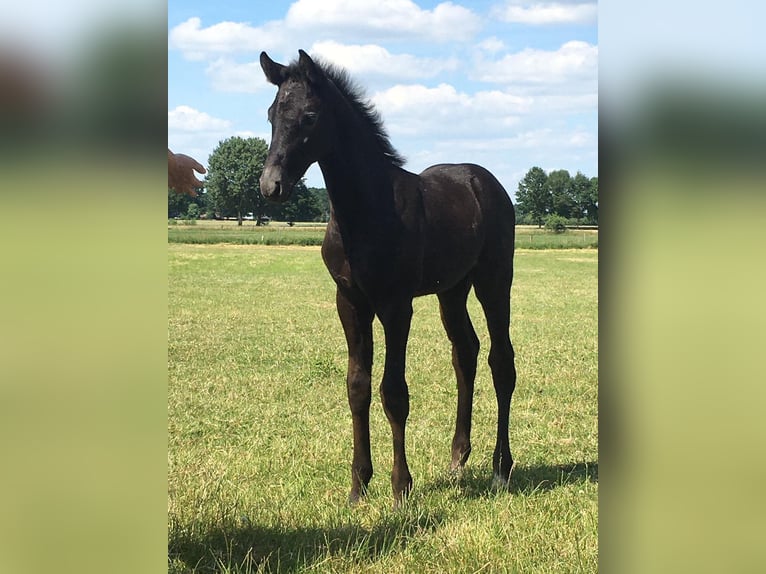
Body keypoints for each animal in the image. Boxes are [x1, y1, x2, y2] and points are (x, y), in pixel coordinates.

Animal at [259, 50, 517, 506]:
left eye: (309, 116)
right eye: (272, 114)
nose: (271, 186)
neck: (366, 209)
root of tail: (485, 181)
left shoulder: (396, 305)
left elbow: (394, 392)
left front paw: (401, 488)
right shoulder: (350, 302)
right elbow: (358, 386)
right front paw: (358, 485)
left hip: (494, 281)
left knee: (501, 360)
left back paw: (500, 469)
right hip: (452, 291)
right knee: (465, 353)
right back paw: (457, 458)